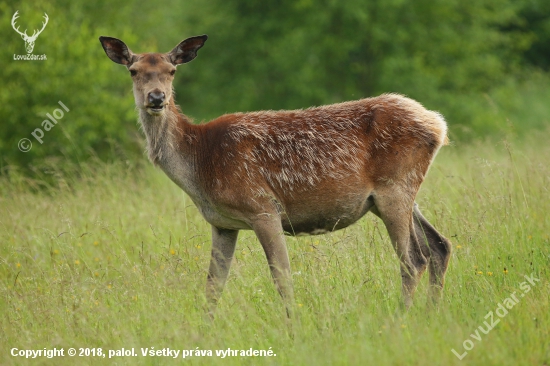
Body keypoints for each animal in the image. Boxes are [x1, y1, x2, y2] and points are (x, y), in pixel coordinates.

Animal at [99, 35, 452, 318]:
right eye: (133, 71)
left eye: (172, 70)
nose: (157, 98)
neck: (199, 163)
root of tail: (438, 124)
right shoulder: (222, 223)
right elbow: (214, 285)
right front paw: (204, 330)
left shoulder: (263, 207)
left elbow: (282, 277)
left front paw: (292, 327)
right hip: (395, 195)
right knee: (439, 246)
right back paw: (430, 314)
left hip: (395, 187)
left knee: (413, 259)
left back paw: (401, 318)